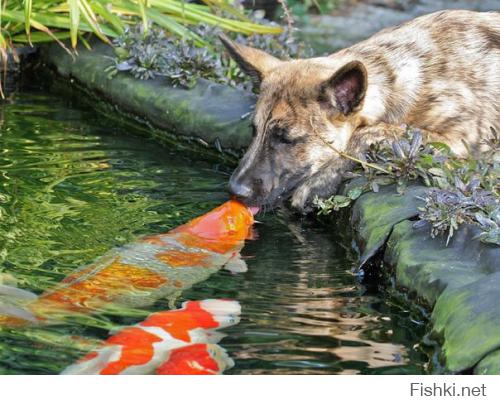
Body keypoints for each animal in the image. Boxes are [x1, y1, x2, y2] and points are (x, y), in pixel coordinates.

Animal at [222, 9, 500, 211]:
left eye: (286, 139)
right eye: (254, 131)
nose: (234, 191)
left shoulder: (462, 142)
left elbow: (368, 133)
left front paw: (318, 183)